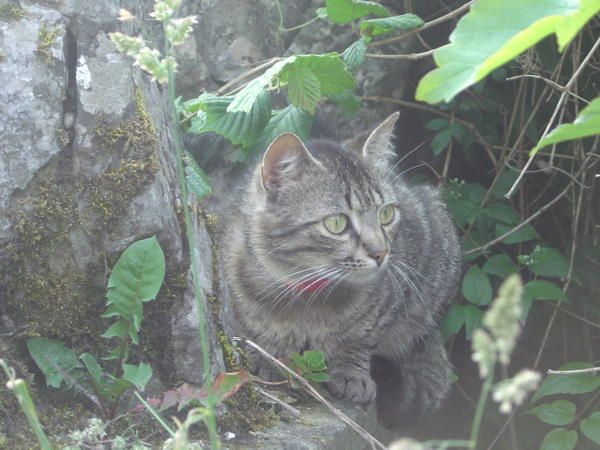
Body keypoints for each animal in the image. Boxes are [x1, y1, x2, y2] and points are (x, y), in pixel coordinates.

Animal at [223, 112, 462, 426]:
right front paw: (265, 356)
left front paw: (351, 371)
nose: (381, 252)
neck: (307, 296)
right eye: (336, 223)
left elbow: (362, 336)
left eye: (386, 214)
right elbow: (249, 330)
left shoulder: (393, 297)